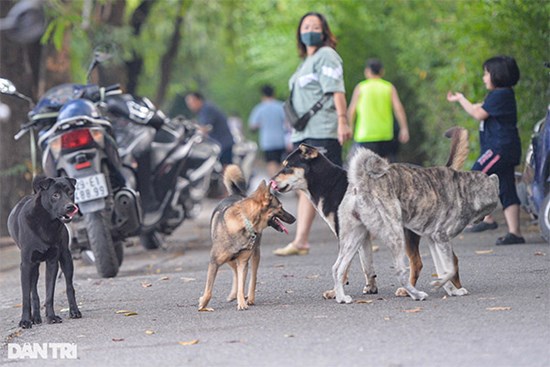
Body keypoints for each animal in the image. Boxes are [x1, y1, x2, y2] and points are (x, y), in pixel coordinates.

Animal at [8, 177, 82, 330]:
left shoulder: (52, 262)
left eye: (70, 193)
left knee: (69, 286)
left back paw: (74, 311)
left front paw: (51, 317)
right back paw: (35, 318)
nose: (70, 207)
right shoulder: (26, 265)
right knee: (33, 292)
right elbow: (26, 296)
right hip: (33, 267)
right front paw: (25, 321)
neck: (46, 222)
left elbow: (49, 293)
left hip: (66, 258)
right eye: (55, 195)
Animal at [199, 165, 296, 312]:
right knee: (235, 271)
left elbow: (242, 284)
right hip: (229, 259)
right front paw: (203, 304)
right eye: (280, 207)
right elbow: (209, 289)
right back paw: (233, 294)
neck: (245, 222)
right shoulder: (214, 261)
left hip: (255, 255)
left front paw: (242, 303)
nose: (294, 218)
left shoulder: (243, 261)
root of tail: (235, 194)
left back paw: (249, 298)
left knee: (252, 277)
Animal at [334, 148, 502, 304]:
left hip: (355, 237)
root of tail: (362, 180)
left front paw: (451, 290)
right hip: (396, 235)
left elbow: (443, 269)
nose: (480, 220)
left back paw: (341, 297)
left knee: (337, 268)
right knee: (400, 272)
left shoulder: (434, 240)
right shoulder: (441, 237)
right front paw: (441, 285)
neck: (466, 188)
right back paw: (416, 294)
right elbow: (449, 269)